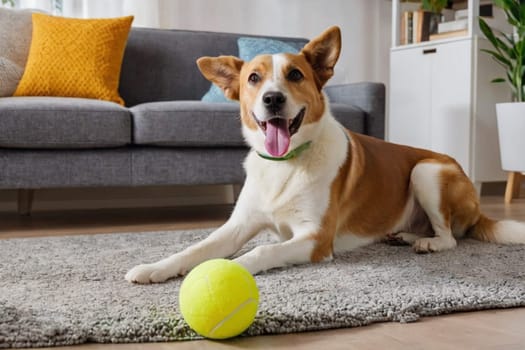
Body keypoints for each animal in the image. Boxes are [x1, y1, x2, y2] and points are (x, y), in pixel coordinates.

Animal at [126, 26, 524, 284]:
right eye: (253, 78)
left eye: (295, 74)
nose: (273, 99)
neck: (286, 165)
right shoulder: (238, 226)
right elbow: (197, 247)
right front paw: (156, 268)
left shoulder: (315, 239)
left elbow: (260, 253)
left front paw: (228, 269)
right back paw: (405, 236)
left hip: (427, 171)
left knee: (451, 237)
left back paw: (426, 242)